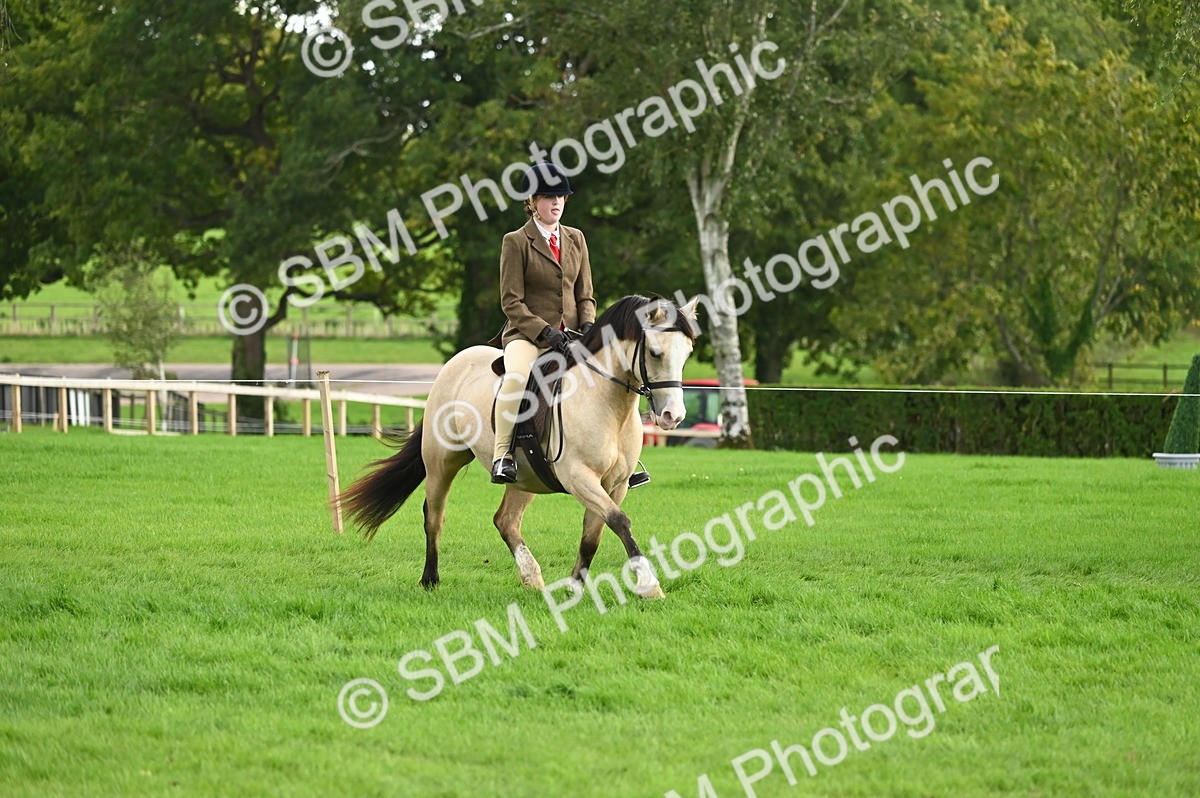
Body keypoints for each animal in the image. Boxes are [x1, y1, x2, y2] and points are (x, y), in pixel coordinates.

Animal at [338, 295, 700, 598]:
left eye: (687, 354)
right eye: (655, 352)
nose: (673, 416)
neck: (604, 400)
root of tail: (454, 364)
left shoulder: (615, 484)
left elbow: (593, 535)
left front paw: (574, 588)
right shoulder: (579, 477)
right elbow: (620, 522)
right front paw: (649, 585)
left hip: (526, 475)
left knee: (505, 521)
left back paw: (531, 577)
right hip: (442, 461)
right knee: (434, 516)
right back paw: (431, 580)